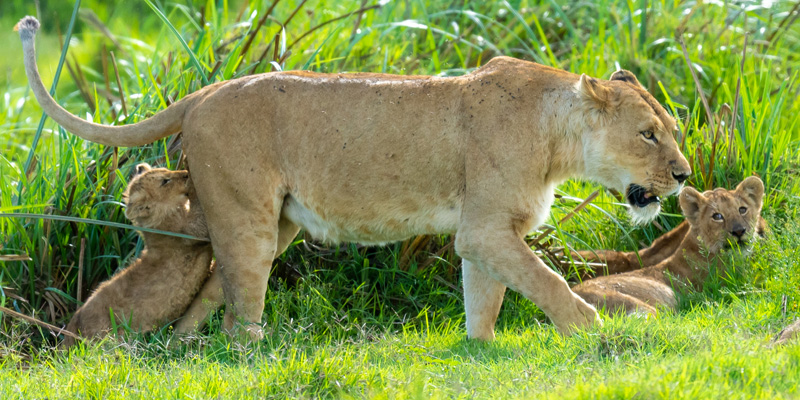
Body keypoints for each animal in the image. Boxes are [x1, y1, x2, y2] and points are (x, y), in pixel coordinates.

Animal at [20, 16, 692, 340]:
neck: (557, 137)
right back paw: (255, 351)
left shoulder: (484, 233)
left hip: (279, 224)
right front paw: (594, 333)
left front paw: (480, 350)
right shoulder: (485, 230)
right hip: (250, 218)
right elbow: (545, 281)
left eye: (673, 129)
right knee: (239, 309)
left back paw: (183, 347)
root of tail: (203, 92)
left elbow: (486, 298)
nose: (685, 176)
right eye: (648, 134)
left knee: (212, 289)